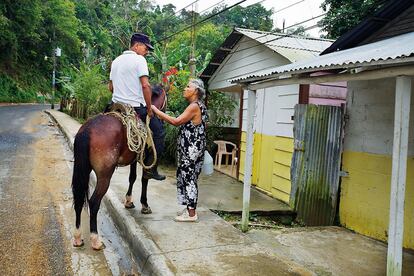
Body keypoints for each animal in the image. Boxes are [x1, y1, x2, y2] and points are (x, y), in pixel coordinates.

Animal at [72, 85, 166, 249]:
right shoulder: (145, 157)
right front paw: (144, 204)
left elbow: (132, 177)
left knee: (79, 199)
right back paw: (95, 239)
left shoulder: (135, 158)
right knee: (94, 202)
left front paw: (129, 201)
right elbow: (144, 178)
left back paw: (78, 237)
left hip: (83, 170)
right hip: (104, 175)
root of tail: (87, 130)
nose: (163, 113)